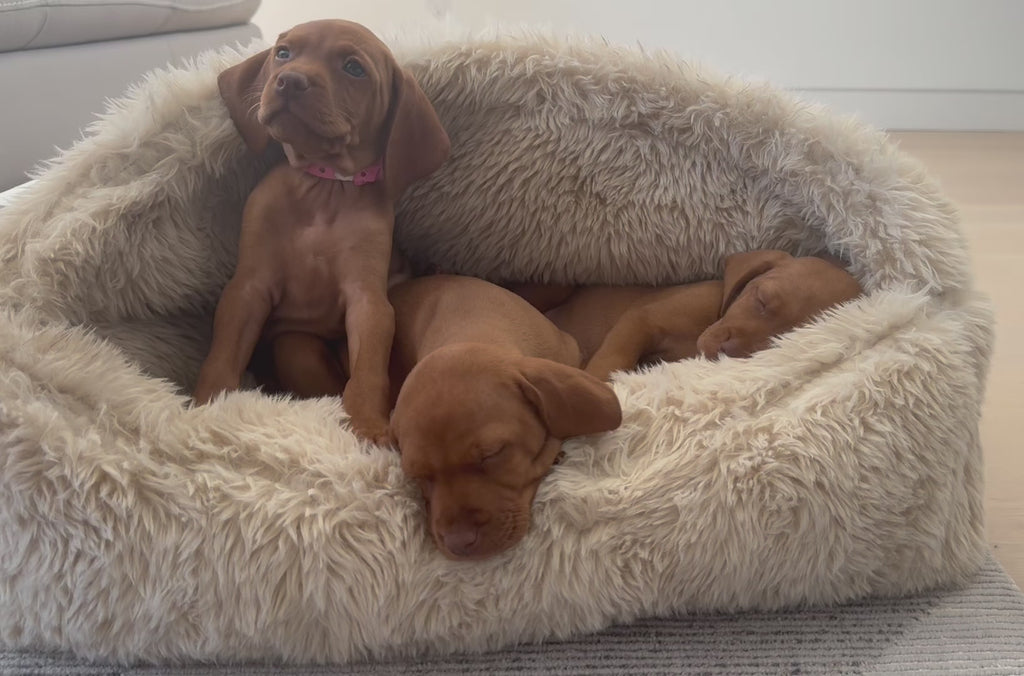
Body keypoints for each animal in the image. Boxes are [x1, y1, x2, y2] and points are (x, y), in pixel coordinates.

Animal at [192, 19, 448, 444]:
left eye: (354, 68)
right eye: (283, 53)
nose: (289, 81)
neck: (325, 185)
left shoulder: (367, 300)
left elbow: (368, 370)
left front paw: (367, 425)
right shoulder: (248, 286)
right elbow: (223, 353)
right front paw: (206, 407)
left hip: (297, 345)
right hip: (292, 344)